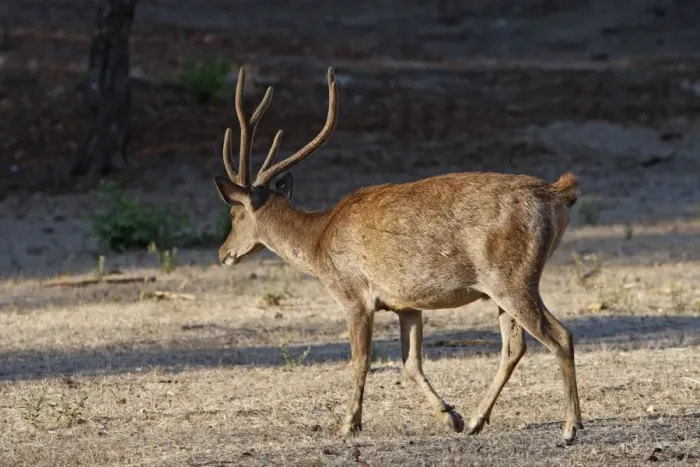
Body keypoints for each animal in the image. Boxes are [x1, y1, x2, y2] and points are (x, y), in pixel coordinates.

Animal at [213, 66, 584, 442]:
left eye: (234, 214)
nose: (223, 252)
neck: (318, 242)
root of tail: (555, 194)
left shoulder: (354, 295)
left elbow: (361, 360)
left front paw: (349, 424)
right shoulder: (407, 303)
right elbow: (411, 363)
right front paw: (451, 417)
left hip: (513, 277)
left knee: (559, 335)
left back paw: (570, 426)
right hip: (502, 286)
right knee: (514, 346)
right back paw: (477, 420)